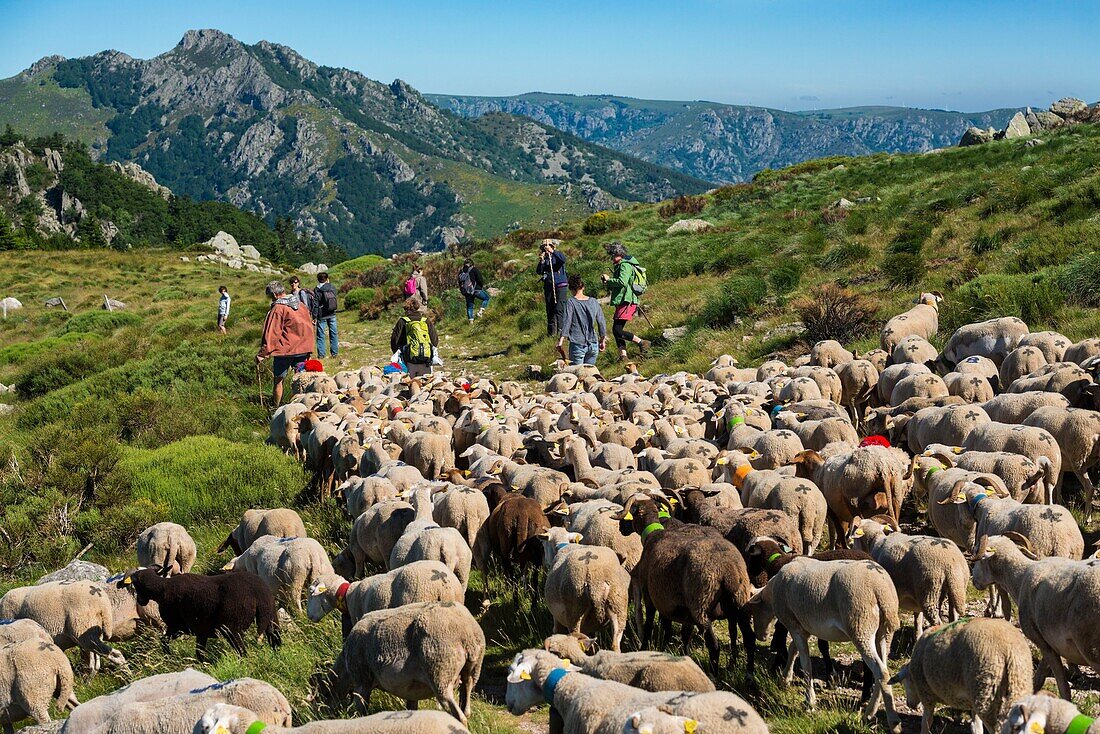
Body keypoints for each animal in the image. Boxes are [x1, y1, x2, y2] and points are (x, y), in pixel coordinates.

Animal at [122, 567, 281, 660]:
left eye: (135, 585)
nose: (140, 601)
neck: (162, 589)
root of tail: (258, 592)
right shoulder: (201, 631)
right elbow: (199, 653)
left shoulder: (177, 627)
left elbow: (164, 641)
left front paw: (168, 655)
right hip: (272, 619)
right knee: (275, 640)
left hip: (232, 628)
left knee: (242, 651)